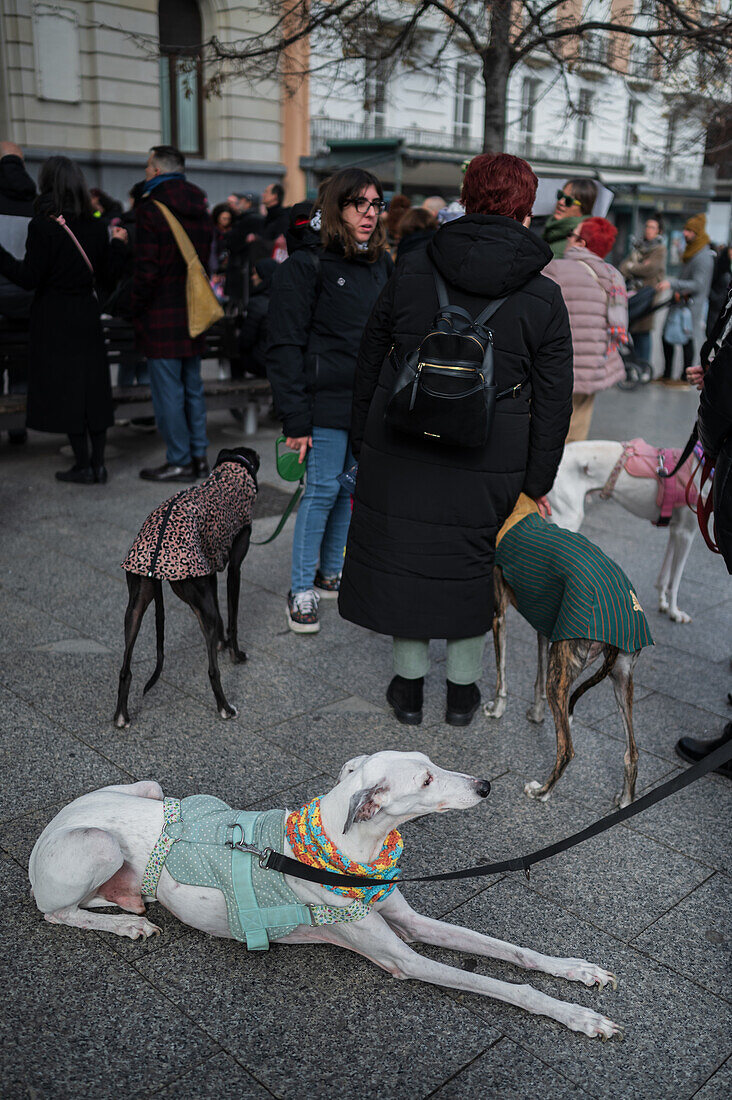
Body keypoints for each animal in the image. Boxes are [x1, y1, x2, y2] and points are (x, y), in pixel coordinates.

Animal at [29, 748, 620, 1038]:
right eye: (426, 781)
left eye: (435, 765)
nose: (485, 786)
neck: (346, 853)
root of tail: (54, 822)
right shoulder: (403, 959)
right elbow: (509, 987)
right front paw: (578, 1017)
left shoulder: (410, 921)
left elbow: (513, 952)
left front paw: (577, 970)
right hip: (97, 844)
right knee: (56, 913)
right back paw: (126, 920)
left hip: (148, 789)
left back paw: (128, 900)